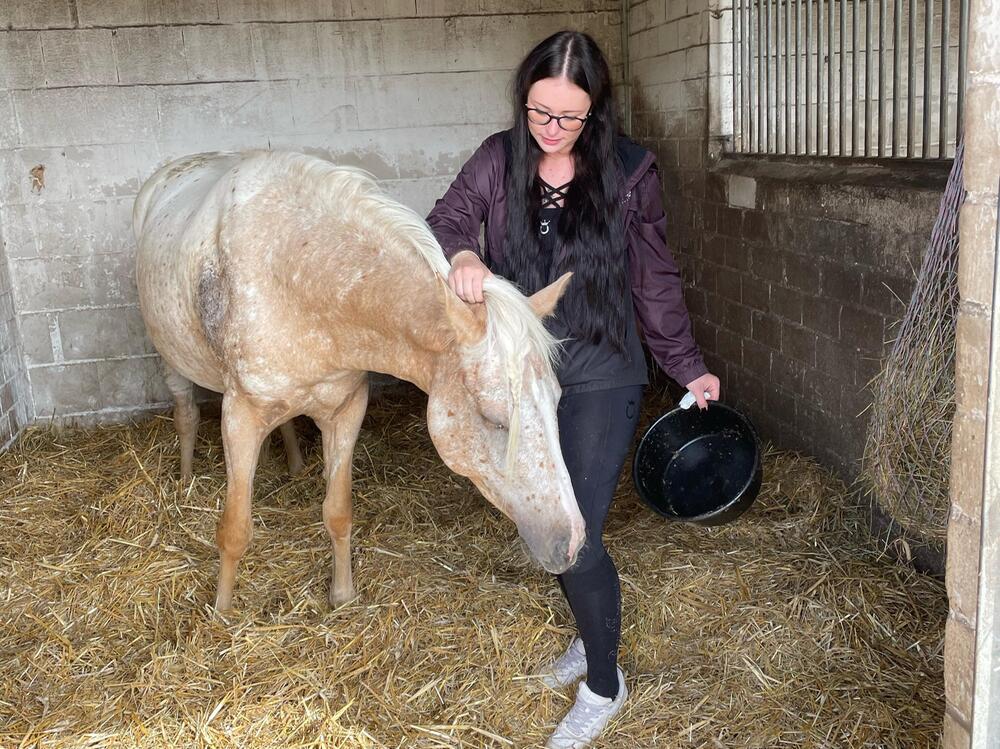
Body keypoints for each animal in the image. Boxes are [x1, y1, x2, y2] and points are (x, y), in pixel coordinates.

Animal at [134, 149, 584, 612]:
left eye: (555, 402)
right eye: (494, 419)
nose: (572, 542)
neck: (297, 276)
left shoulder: (347, 408)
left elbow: (338, 512)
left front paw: (342, 595)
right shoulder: (240, 417)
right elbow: (235, 529)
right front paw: (222, 610)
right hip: (171, 359)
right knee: (186, 414)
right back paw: (186, 479)